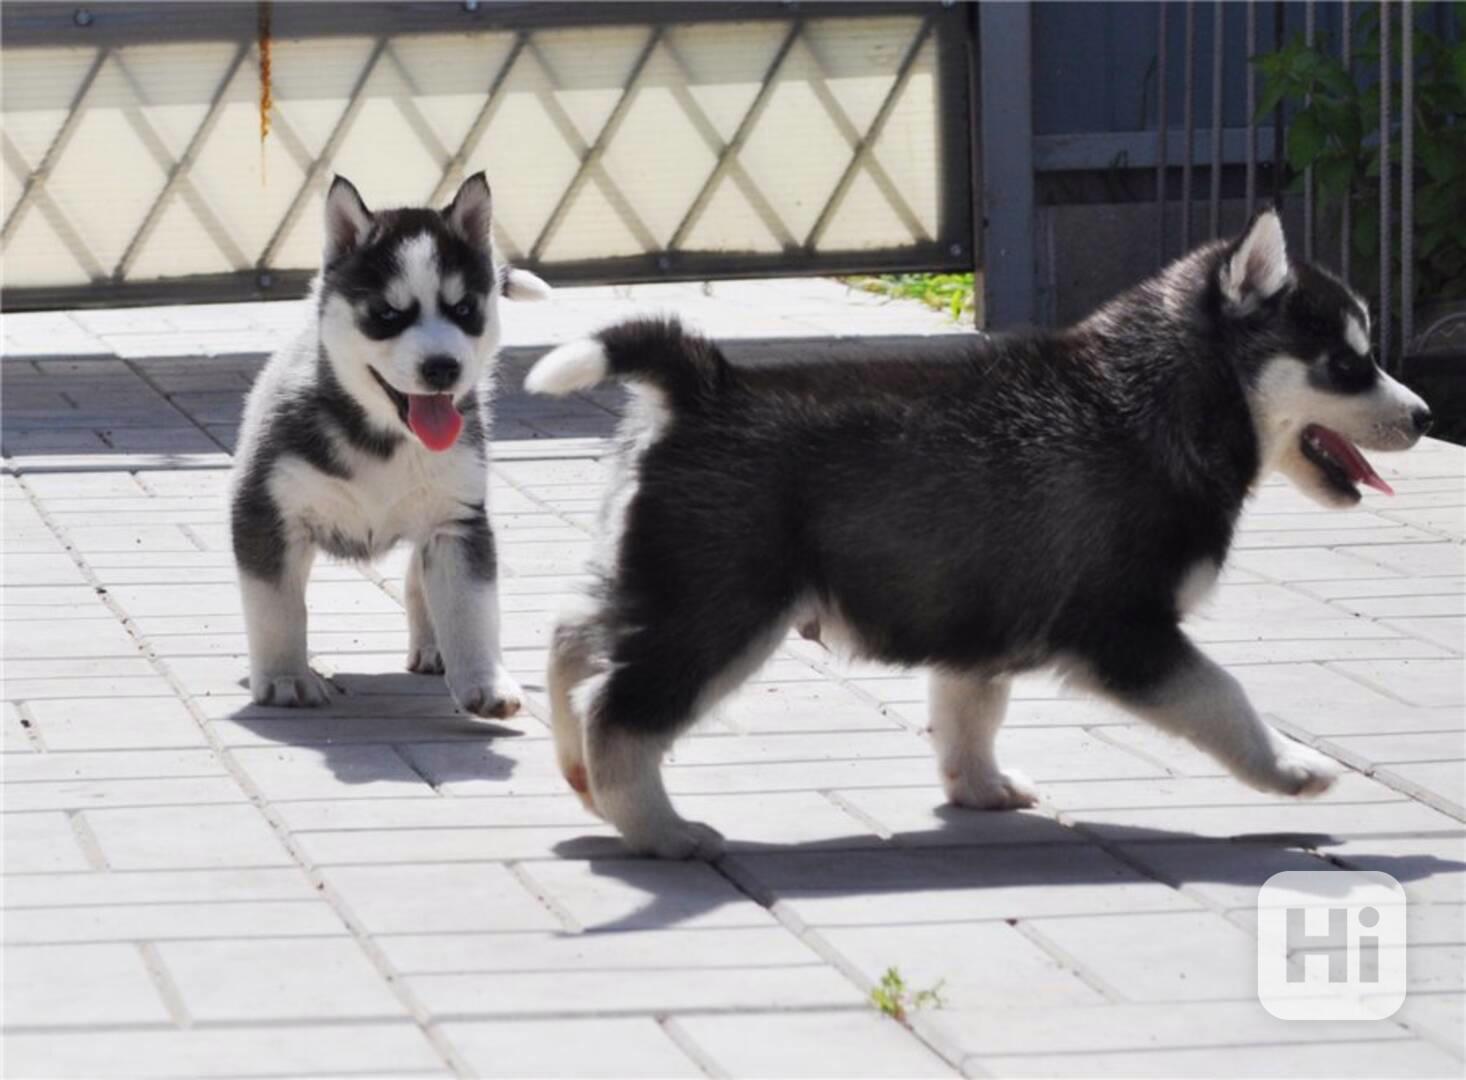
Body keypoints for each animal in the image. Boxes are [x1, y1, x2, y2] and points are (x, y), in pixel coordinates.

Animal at [228, 175, 551, 715]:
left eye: (465, 310)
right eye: (386, 314)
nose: (443, 368)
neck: (386, 439)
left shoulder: (457, 520)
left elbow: (470, 608)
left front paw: (486, 682)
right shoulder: (266, 509)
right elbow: (277, 604)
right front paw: (284, 677)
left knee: (420, 579)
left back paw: (433, 647)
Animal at [524, 206, 1430, 855]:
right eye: (1346, 365)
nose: (1425, 418)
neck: (1157, 396)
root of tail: (703, 382)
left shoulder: (977, 611)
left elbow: (969, 710)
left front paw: (978, 788)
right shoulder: (1124, 627)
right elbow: (1224, 695)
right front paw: (1291, 768)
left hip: (660, 579)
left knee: (570, 636)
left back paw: (573, 768)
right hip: (723, 608)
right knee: (621, 708)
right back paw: (659, 828)